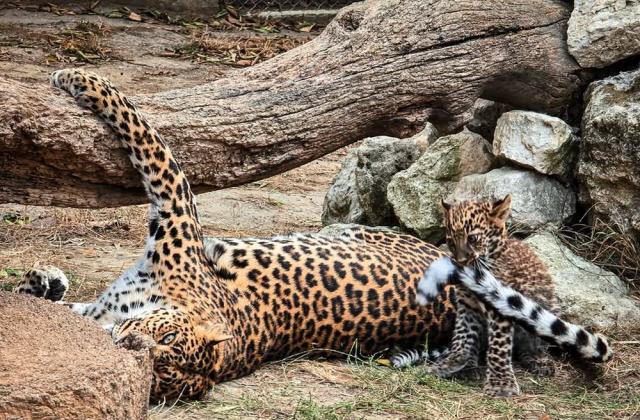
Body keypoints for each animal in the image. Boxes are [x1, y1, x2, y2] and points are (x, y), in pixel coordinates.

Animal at [13, 68, 460, 403]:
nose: (127, 343)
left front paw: (73, 77)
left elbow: (144, 136)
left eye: (160, 365)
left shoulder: (174, 209)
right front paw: (45, 282)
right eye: (166, 336)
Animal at [413, 196, 613, 396]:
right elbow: (463, 335)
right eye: (450, 241)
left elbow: (498, 345)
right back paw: (470, 366)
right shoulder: (467, 305)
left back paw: (537, 360)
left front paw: (501, 384)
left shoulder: (498, 305)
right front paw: (453, 361)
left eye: (472, 238)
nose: (461, 261)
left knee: (532, 345)